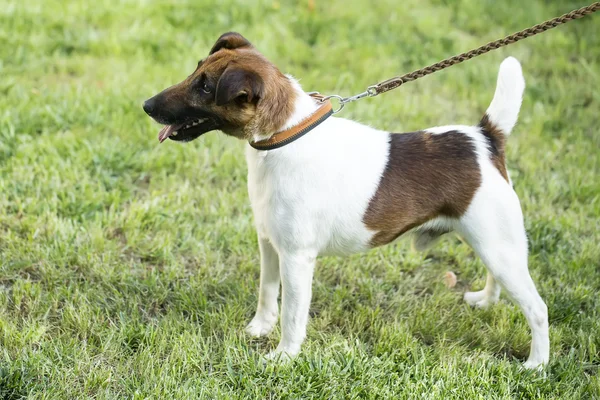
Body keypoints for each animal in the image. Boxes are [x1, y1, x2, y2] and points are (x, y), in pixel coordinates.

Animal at [144, 32, 548, 368]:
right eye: (196, 70)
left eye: (205, 87)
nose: (146, 105)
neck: (283, 137)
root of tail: (484, 139)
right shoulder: (269, 244)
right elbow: (267, 293)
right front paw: (259, 329)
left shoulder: (296, 259)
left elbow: (291, 315)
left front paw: (284, 357)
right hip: (491, 244)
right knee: (497, 278)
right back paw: (486, 301)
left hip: (498, 245)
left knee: (537, 309)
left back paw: (536, 366)